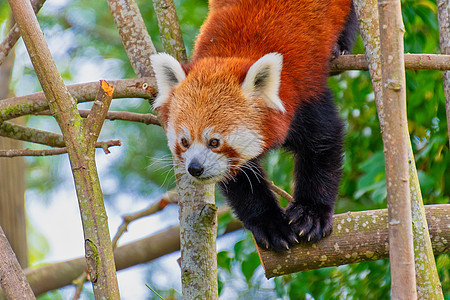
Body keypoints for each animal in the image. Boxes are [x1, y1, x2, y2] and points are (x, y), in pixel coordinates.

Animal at [151, 0, 358, 251]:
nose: (195, 168)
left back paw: (340, 46)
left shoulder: (306, 96)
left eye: (214, 142)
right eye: (184, 141)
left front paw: (311, 214)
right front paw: (270, 224)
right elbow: (240, 180)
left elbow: (323, 143)